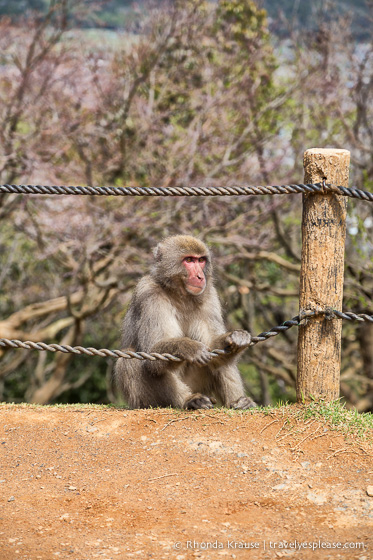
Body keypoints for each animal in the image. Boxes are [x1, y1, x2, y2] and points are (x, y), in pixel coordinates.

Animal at [111, 234, 256, 410]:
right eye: (189, 260)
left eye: (201, 260)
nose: (200, 276)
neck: (180, 294)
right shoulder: (148, 294)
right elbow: (152, 355)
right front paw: (189, 348)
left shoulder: (210, 295)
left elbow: (212, 347)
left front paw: (234, 337)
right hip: (146, 402)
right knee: (129, 360)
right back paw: (190, 400)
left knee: (220, 362)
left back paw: (239, 402)